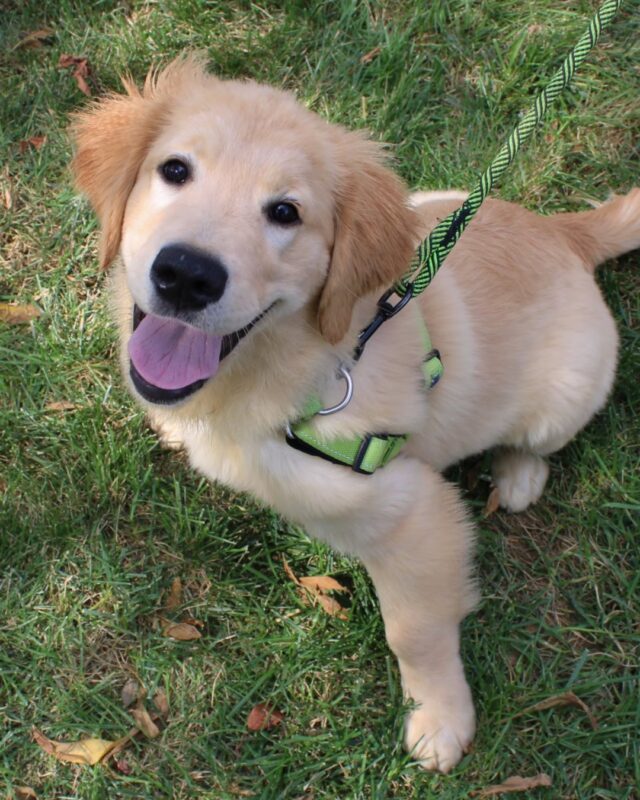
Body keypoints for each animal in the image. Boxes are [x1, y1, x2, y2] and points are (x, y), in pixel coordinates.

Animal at [70, 59, 640, 772]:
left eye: (285, 213)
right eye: (174, 170)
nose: (186, 274)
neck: (297, 371)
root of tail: (562, 230)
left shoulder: (414, 511)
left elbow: (414, 631)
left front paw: (440, 719)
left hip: (565, 394)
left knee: (538, 441)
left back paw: (518, 475)